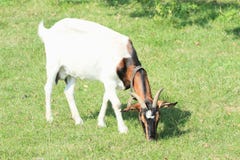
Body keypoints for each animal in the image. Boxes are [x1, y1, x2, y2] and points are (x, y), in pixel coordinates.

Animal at [37, 18, 176, 140]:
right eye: (141, 117)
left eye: (158, 118)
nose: (151, 137)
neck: (124, 58)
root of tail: (49, 31)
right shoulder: (109, 81)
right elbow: (116, 103)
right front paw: (123, 129)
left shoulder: (109, 83)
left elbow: (106, 99)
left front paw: (100, 122)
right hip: (53, 66)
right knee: (47, 88)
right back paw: (49, 118)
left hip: (71, 72)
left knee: (68, 92)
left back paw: (78, 120)